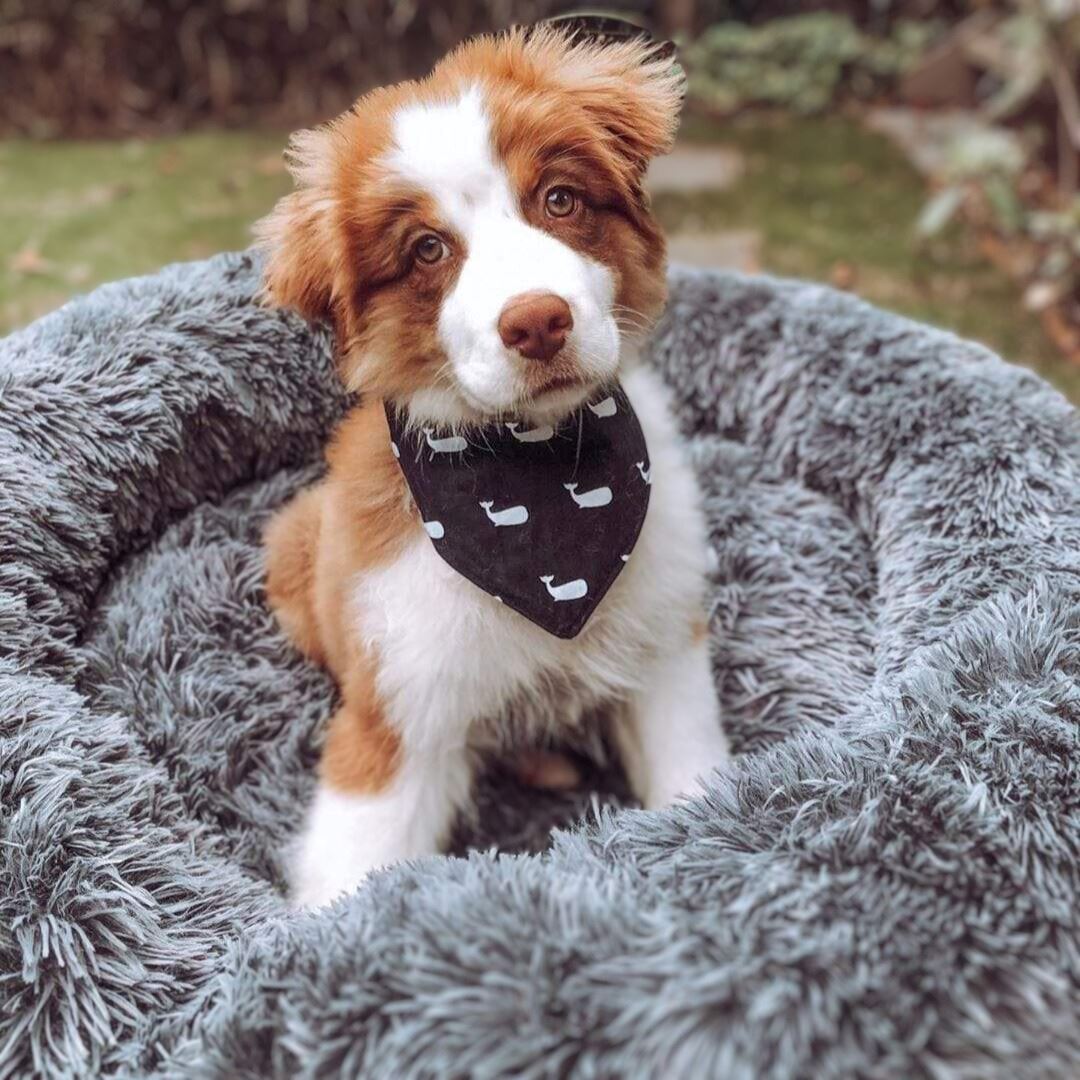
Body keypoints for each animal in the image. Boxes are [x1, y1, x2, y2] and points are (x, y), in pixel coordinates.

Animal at [260, 23, 730, 911]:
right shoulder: (399, 705)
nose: (538, 321)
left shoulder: (663, 652)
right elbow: (353, 864)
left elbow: (693, 780)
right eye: (427, 250)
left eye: (560, 200)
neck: (538, 473)